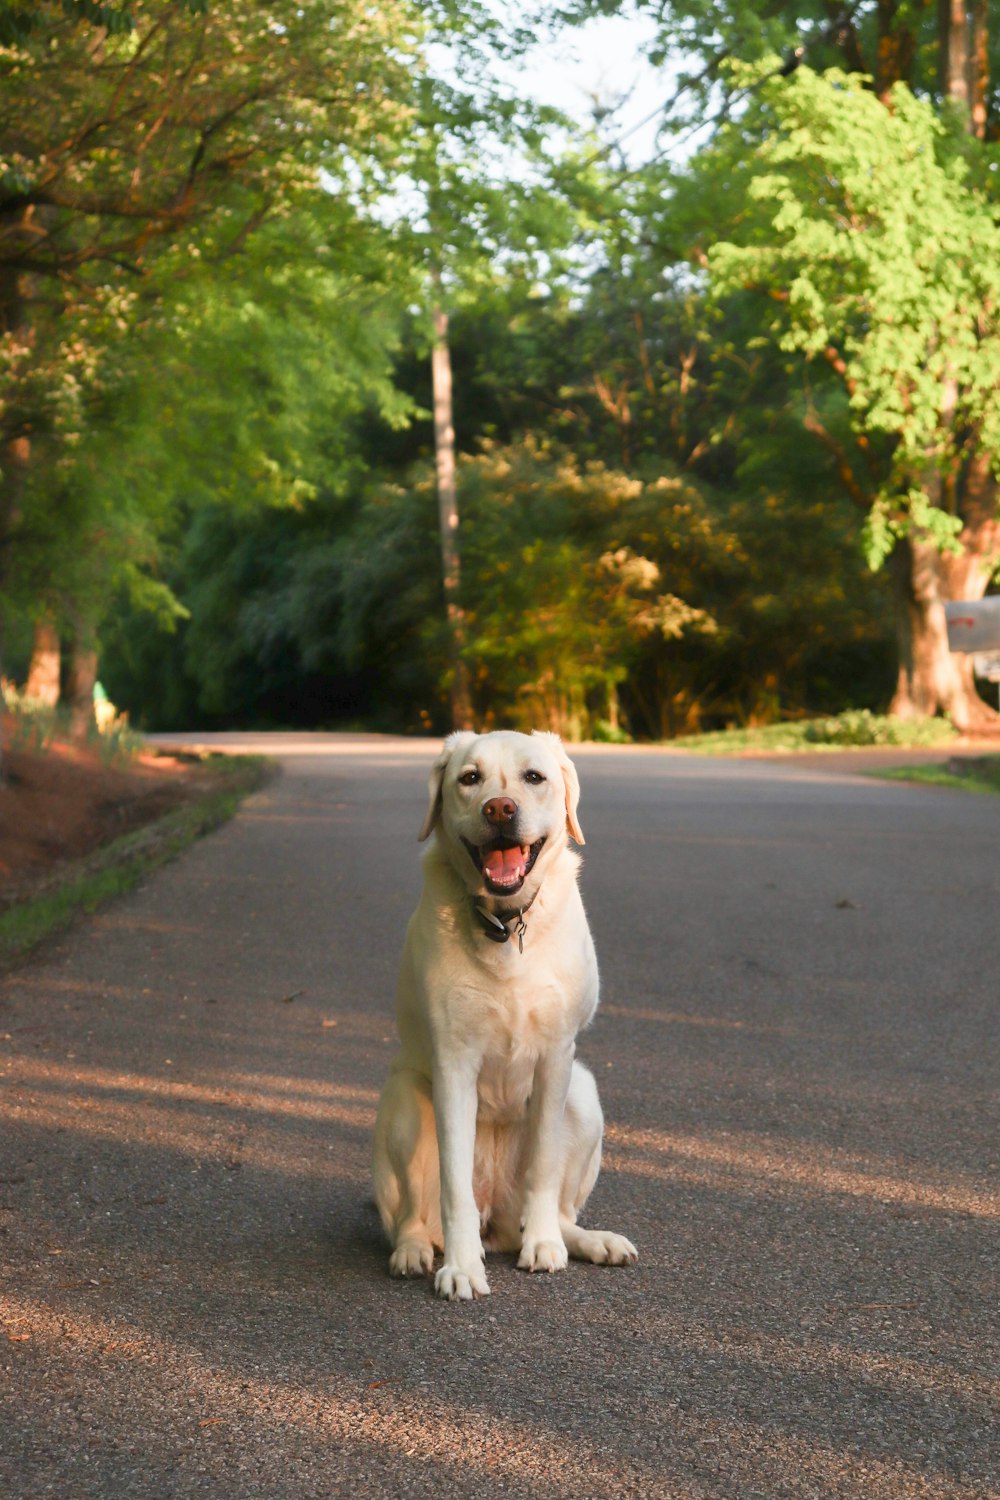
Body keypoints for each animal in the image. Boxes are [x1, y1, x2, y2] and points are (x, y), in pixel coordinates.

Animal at [371, 732, 638, 1296]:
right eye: (470, 778)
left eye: (533, 777)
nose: (499, 808)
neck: (505, 922)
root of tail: (497, 1220)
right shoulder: (453, 1063)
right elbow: (453, 1186)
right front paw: (461, 1269)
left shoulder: (557, 1057)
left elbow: (543, 1166)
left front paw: (544, 1247)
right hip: (404, 1100)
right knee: (411, 1218)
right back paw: (414, 1252)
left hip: (584, 1094)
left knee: (562, 1212)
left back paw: (587, 1241)